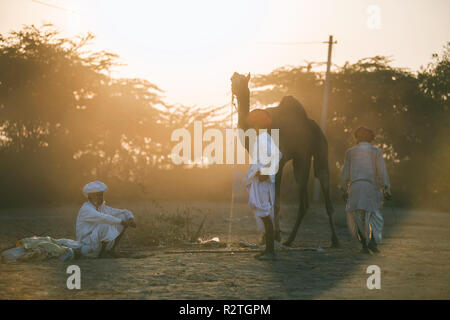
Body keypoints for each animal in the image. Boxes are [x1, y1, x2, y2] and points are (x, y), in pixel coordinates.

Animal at [232, 72, 338, 248]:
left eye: (245, 81)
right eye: (232, 80)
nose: (236, 88)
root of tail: (312, 125)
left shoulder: (278, 162)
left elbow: (276, 202)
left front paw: (276, 236)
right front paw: (265, 237)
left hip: (307, 155)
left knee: (311, 196)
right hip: (313, 155)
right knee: (318, 190)